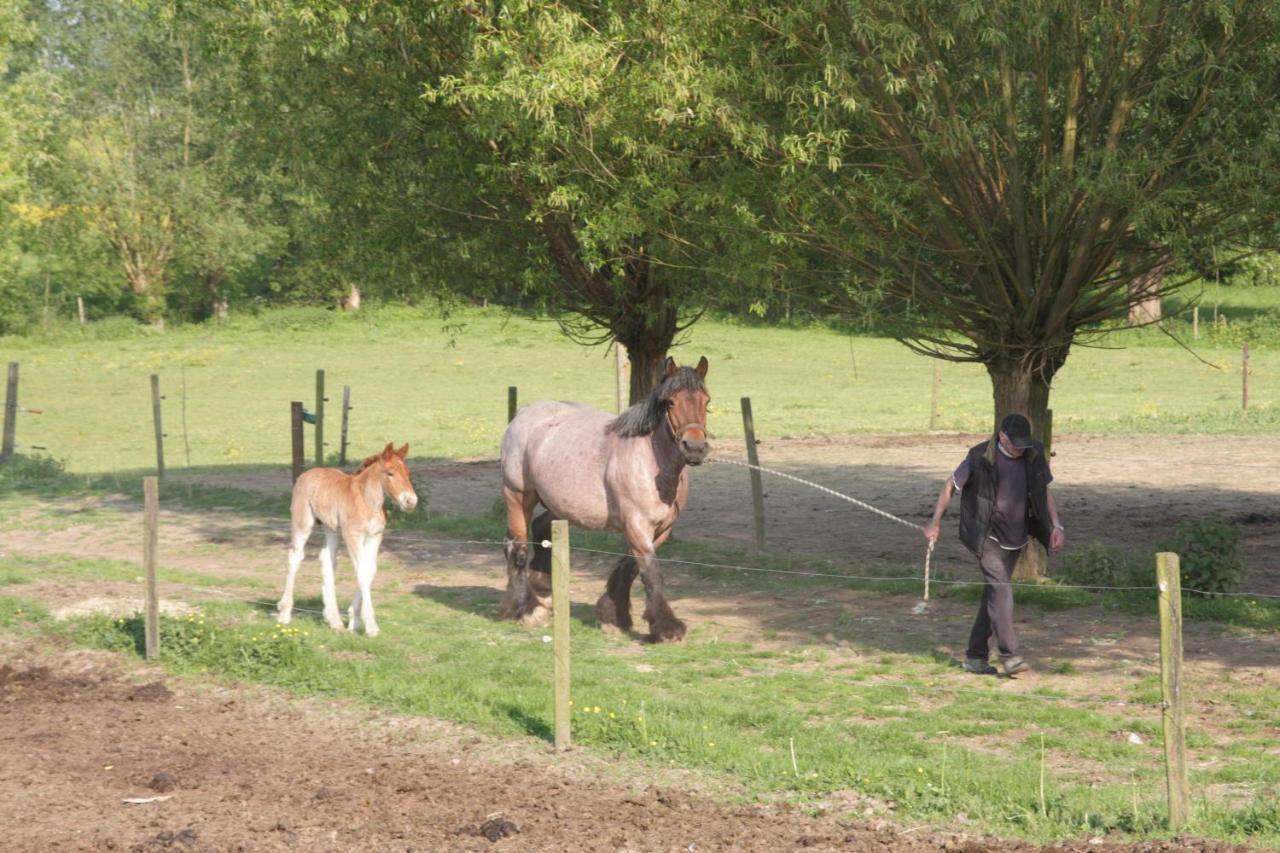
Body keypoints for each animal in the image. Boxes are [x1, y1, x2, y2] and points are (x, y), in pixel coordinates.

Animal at [277, 440, 417, 635]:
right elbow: (362, 571)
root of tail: (305, 474)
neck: (367, 501)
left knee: (327, 560)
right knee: (295, 557)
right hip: (302, 522)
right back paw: (284, 613)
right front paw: (371, 626)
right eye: (390, 473)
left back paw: (333, 620)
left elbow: (369, 571)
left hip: (331, 529)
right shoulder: (352, 534)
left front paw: (354, 620)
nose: (410, 501)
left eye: (408, 473)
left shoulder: (374, 536)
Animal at [496, 350, 711, 637]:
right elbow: (651, 572)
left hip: (558, 503)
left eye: (706, 401)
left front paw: (613, 615)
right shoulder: (637, 526)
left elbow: (630, 566)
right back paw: (525, 609)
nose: (695, 448)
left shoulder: (661, 530)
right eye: (670, 402)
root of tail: (522, 415)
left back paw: (541, 590)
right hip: (519, 495)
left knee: (540, 528)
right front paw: (666, 628)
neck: (650, 462)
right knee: (517, 547)